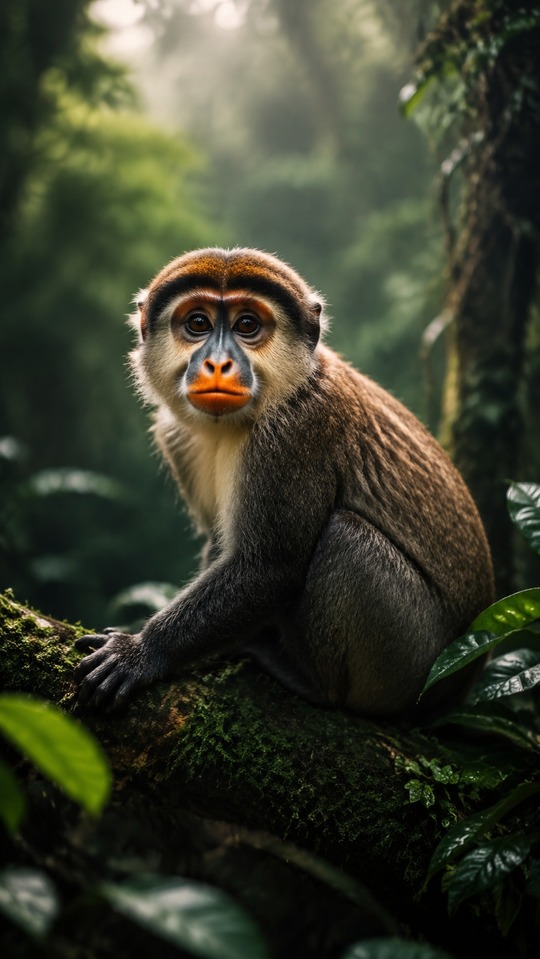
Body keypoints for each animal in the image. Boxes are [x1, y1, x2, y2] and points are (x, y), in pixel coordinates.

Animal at [74, 247, 495, 718]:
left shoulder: (296, 430)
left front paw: (144, 652)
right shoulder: (175, 435)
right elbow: (223, 543)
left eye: (247, 325)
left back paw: (313, 683)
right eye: (198, 323)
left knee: (346, 538)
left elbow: (268, 567)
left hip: (409, 662)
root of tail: (453, 693)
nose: (216, 363)